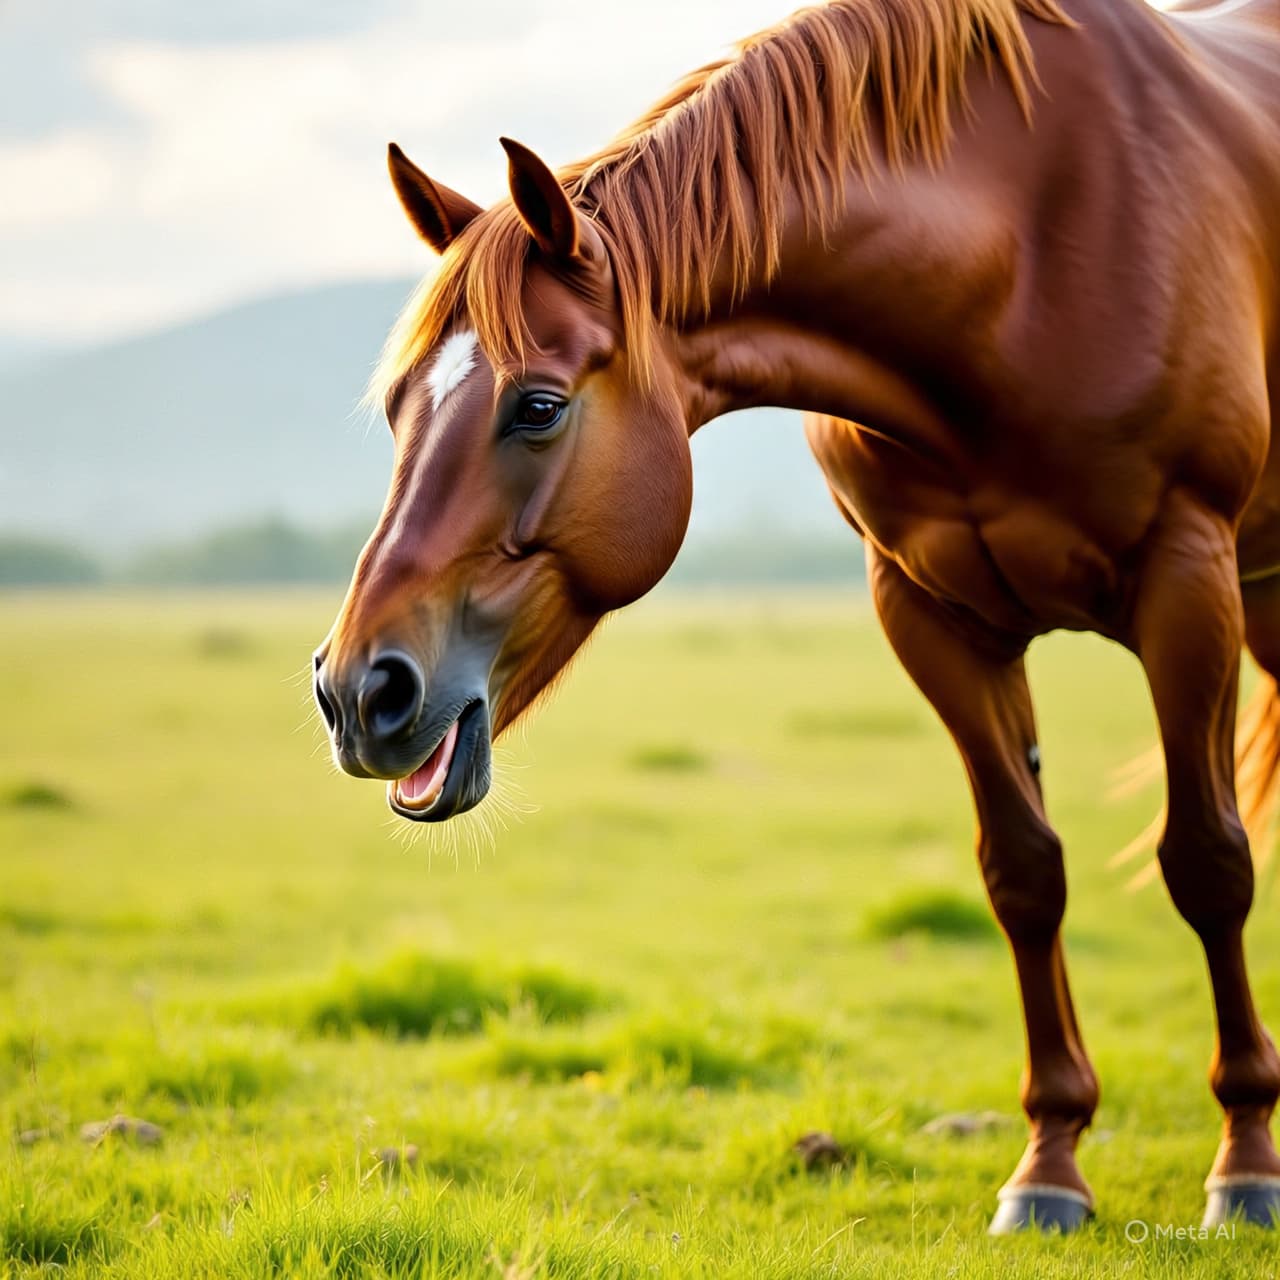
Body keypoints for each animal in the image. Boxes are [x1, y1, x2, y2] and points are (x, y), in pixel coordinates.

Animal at [313, 0, 1280, 1233]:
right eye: (397, 406)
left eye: (535, 405)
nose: (357, 691)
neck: (1025, 260)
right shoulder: (929, 611)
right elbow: (1022, 871)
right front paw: (1048, 1167)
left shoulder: (1185, 580)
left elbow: (1206, 860)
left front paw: (1244, 1162)